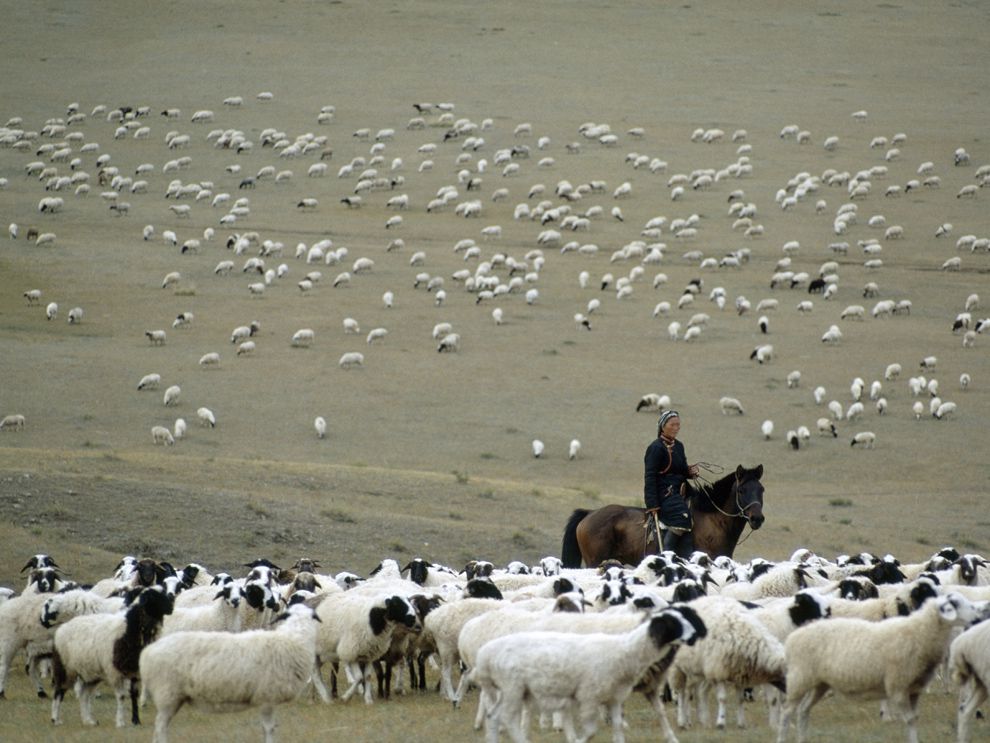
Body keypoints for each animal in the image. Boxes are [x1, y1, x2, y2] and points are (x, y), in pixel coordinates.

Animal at [51, 588, 174, 728]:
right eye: (154, 597)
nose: (171, 608)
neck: (130, 629)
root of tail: (62, 628)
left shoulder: (135, 672)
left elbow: (134, 695)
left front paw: (136, 720)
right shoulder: (115, 673)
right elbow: (121, 697)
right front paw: (120, 722)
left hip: (91, 673)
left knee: (84, 695)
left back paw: (88, 720)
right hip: (64, 668)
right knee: (58, 692)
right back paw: (55, 719)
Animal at [472, 608, 704, 743]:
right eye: (674, 623)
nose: (695, 635)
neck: (623, 651)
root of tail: (485, 655)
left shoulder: (613, 699)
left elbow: (618, 729)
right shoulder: (588, 697)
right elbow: (591, 731)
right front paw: (577, 740)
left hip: (508, 690)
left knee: (493, 716)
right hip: (513, 687)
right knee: (507, 718)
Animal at [560, 464, 768, 568]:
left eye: (761, 489)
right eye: (741, 490)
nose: (757, 518)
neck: (714, 520)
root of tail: (589, 514)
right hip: (594, 562)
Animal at [780, 592, 988, 743]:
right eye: (959, 604)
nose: (979, 615)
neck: (919, 632)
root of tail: (793, 638)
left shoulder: (914, 689)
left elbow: (915, 718)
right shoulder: (898, 686)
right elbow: (909, 719)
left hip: (819, 683)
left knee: (803, 710)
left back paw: (802, 739)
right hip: (799, 678)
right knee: (787, 713)